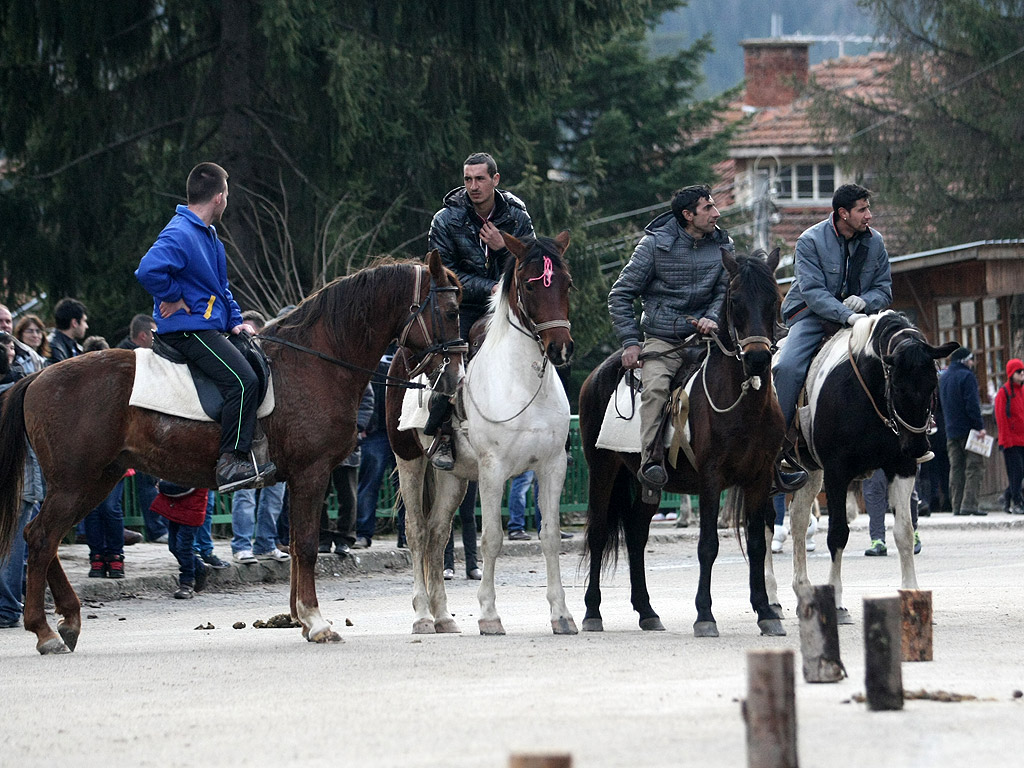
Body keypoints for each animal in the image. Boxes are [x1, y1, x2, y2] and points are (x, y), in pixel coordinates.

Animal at [0, 252, 460, 655]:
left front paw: (298, 618)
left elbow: (297, 547)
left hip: (96, 480)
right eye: (453, 310)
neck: (315, 361)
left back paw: (68, 621)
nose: (454, 375)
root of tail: (38, 377)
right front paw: (315, 621)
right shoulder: (311, 473)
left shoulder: (295, 479)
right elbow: (308, 545)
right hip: (76, 483)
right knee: (40, 537)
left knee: (44, 539)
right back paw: (45, 631)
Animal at [581, 246, 786, 638]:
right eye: (735, 301)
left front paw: (766, 611)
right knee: (598, 532)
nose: (757, 358)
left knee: (636, 533)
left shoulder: (760, 478)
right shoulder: (711, 479)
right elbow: (708, 546)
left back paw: (647, 611)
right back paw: (592, 612)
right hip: (602, 469)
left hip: (645, 481)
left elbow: (756, 544)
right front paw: (705, 615)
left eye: (774, 300)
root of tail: (599, 372)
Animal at [770, 309, 958, 622]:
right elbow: (837, 534)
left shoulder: (902, 467)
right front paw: (836, 602)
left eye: (933, 384)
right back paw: (771, 599)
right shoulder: (837, 472)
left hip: (809, 474)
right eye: (897, 387)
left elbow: (904, 532)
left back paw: (802, 591)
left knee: (797, 522)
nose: (918, 447)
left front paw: (911, 596)